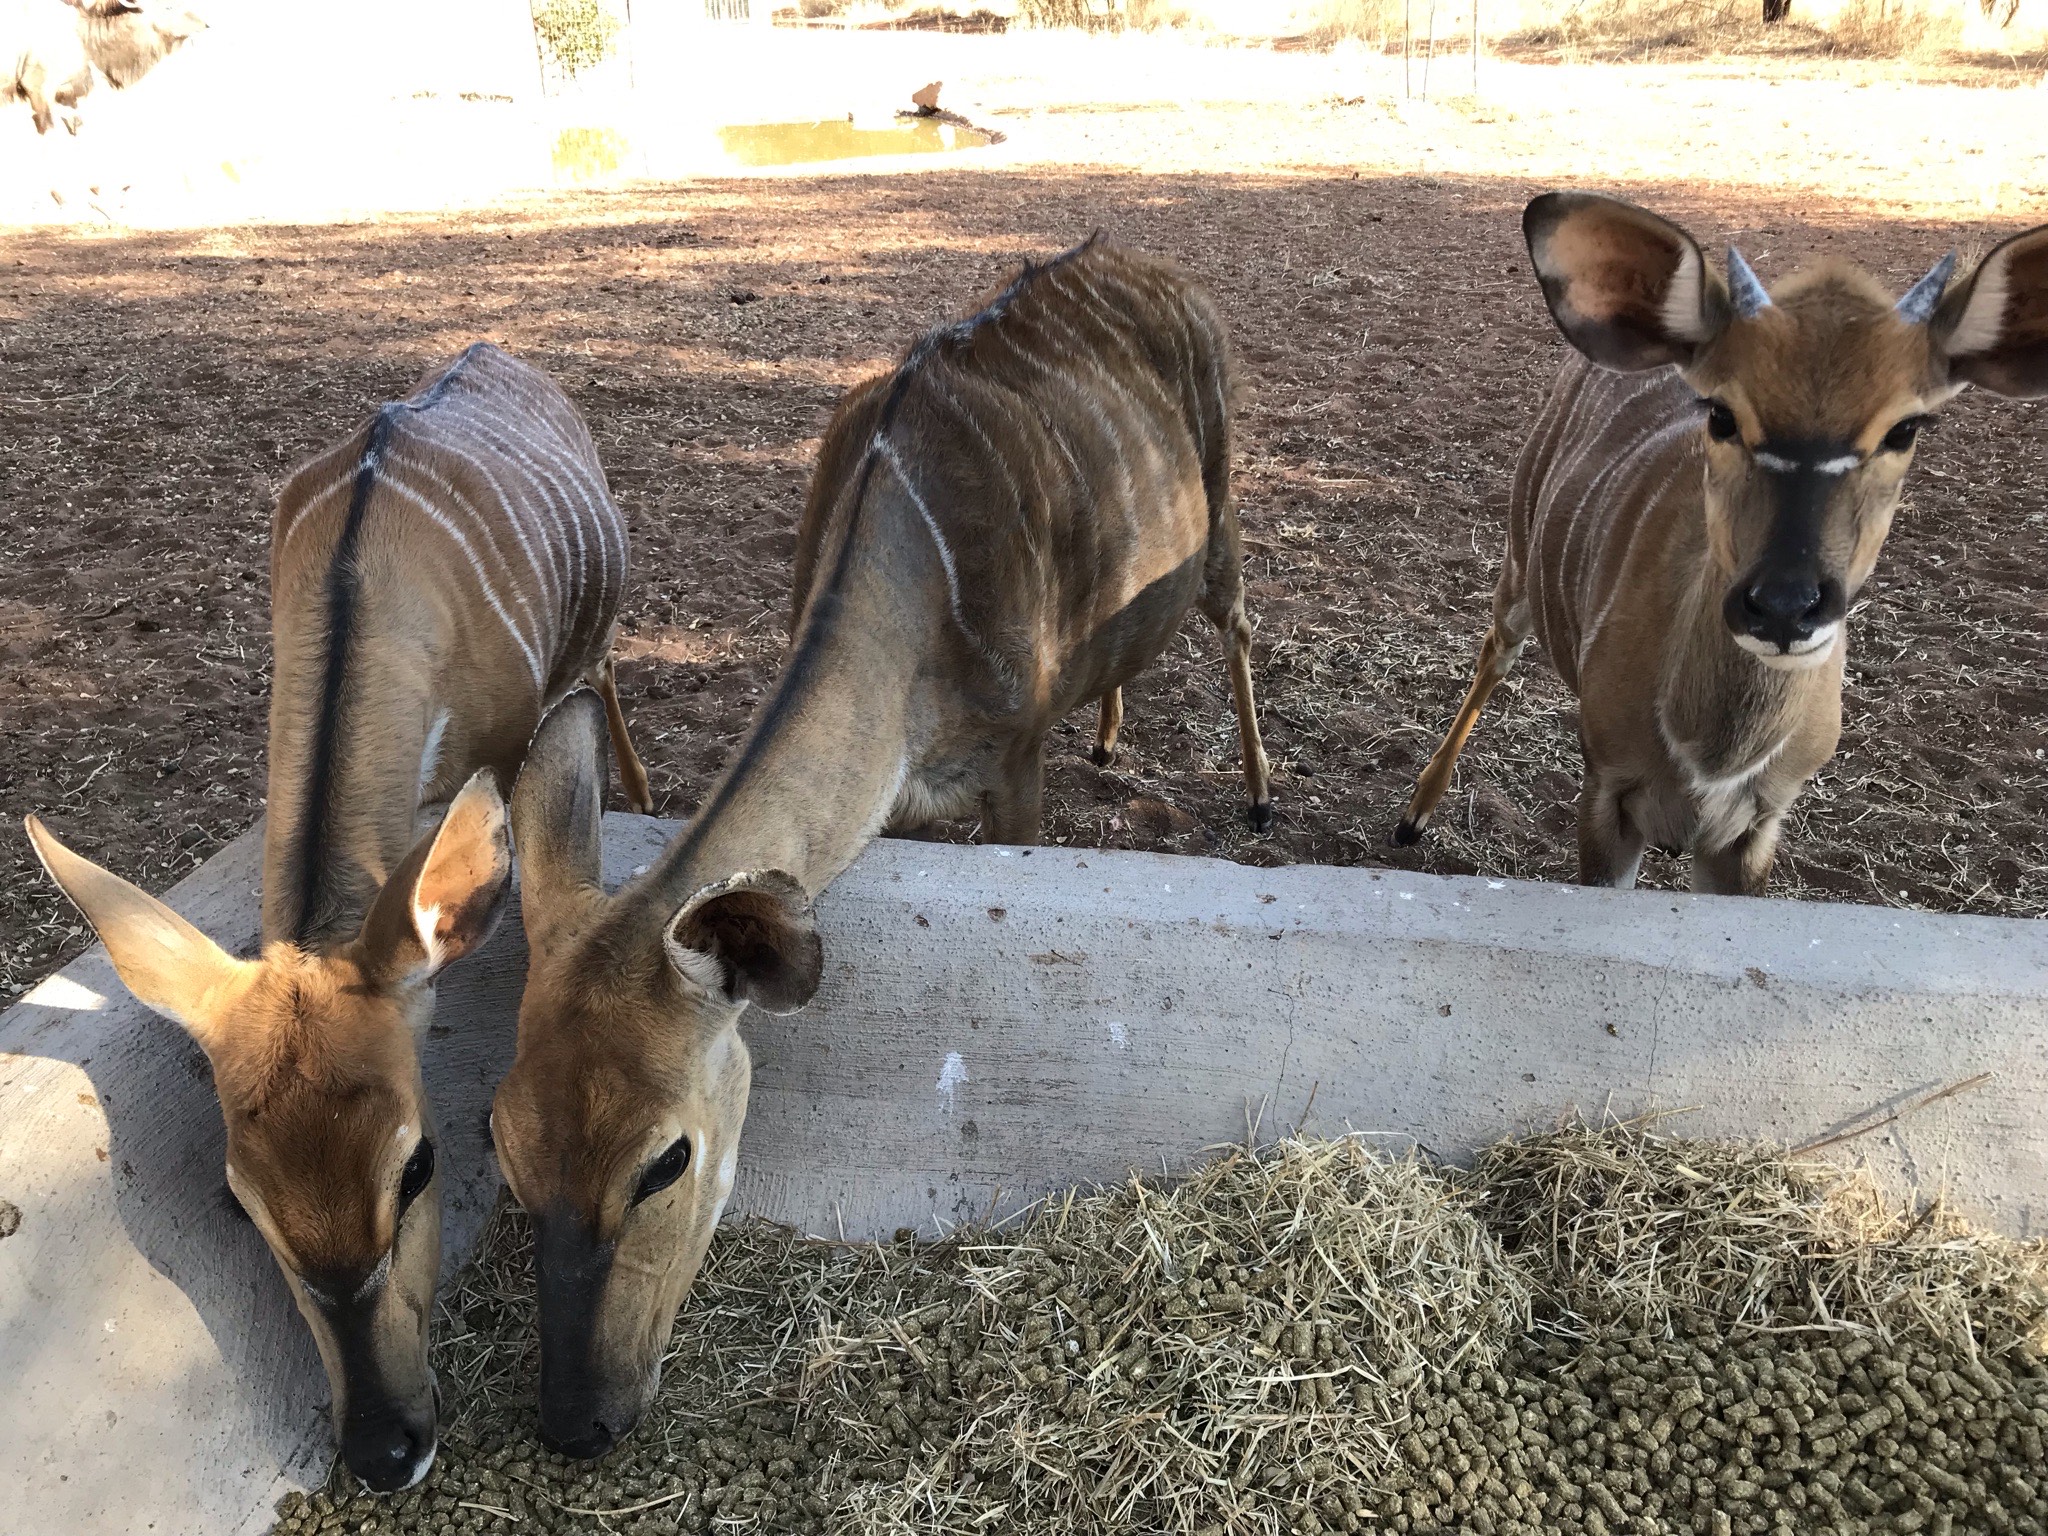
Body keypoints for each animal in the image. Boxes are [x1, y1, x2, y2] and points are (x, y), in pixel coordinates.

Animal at [26, 342, 652, 1492]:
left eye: (419, 1166)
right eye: (239, 1197)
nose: (383, 1447)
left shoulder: (509, 744)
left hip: (592, 637)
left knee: (607, 675)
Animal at [490, 235, 1272, 1457]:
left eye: (663, 1162)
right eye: (505, 1153)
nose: (577, 1422)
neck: (913, 583)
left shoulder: (1014, 758)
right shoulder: (897, 795)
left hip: (1227, 509)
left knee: (1240, 622)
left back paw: (1260, 795)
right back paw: (1112, 736)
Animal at [1395, 194, 2048, 893]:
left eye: (1905, 428)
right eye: (1722, 414)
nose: (1784, 606)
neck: (1715, 754)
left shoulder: (1754, 829)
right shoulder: (1608, 795)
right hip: (1520, 563)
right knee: (1497, 651)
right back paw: (1415, 815)